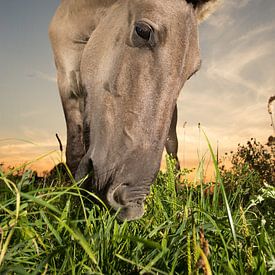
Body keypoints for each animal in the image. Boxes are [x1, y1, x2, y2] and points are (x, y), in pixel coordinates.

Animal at [48, 0, 219, 220]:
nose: (130, 203)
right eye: (143, 31)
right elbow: (75, 148)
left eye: (192, 71)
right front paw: (74, 200)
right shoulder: (66, 79)